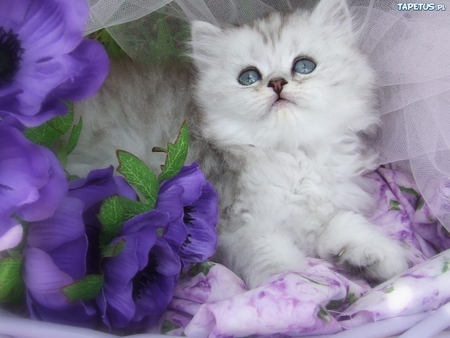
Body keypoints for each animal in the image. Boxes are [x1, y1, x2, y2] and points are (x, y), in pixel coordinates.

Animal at [68, 0, 410, 290]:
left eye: (304, 66)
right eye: (248, 77)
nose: (276, 83)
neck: (292, 154)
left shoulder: (318, 212)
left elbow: (341, 223)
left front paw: (376, 256)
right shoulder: (239, 228)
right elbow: (278, 261)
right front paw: (295, 288)